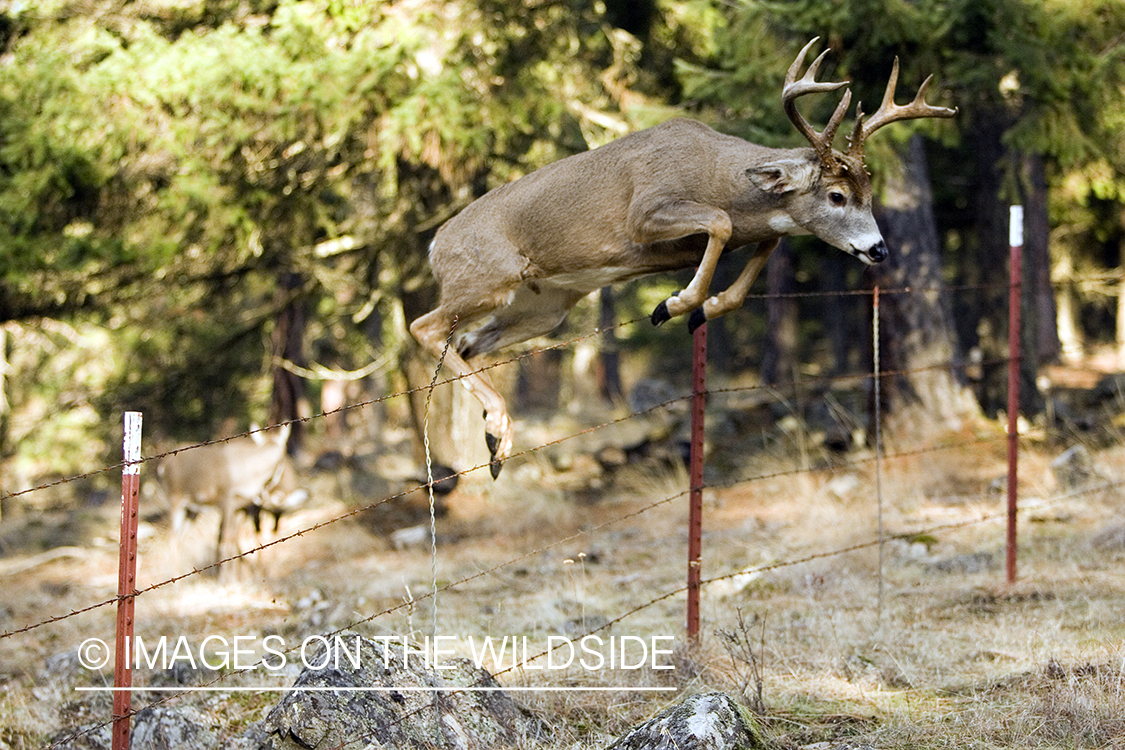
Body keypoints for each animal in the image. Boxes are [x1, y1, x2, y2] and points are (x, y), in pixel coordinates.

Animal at [409, 38, 954, 479]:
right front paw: (672, 304)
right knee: (424, 327)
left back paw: (496, 440)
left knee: (469, 344)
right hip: (485, 278)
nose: (878, 249)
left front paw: (702, 309)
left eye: (870, 193)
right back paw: (497, 428)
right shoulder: (646, 212)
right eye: (838, 196)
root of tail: (436, 244)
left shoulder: (749, 232)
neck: (718, 175)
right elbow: (721, 222)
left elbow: (763, 246)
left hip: (541, 309)